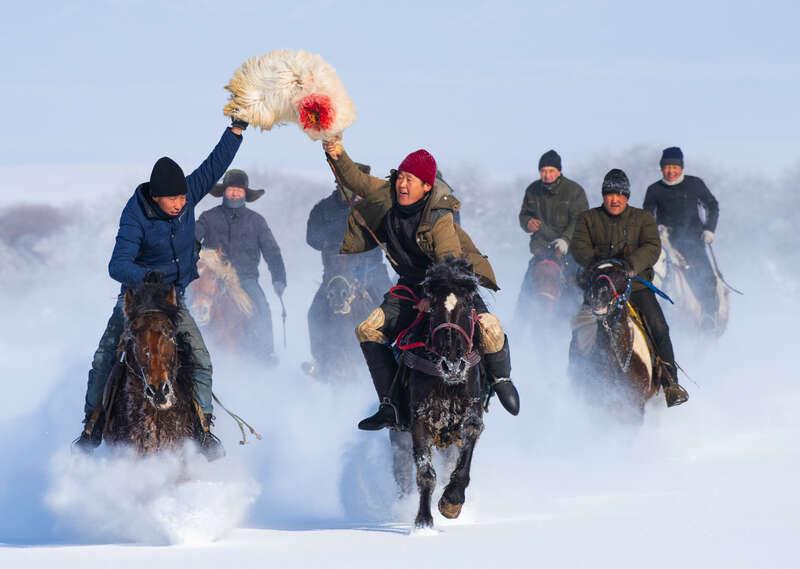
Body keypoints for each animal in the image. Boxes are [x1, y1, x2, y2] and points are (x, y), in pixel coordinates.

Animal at [392, 258, 488, 528]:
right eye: (433, 307)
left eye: (467, 305)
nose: (452, 365)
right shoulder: (420, 417)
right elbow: (425, 471)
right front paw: (423, 521)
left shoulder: (471, 409)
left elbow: (471, 434)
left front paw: (452, 500)